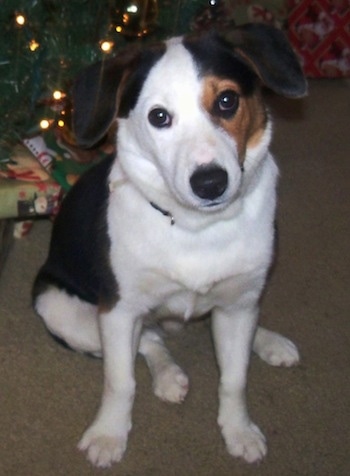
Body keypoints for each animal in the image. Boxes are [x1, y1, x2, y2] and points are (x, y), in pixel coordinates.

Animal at [32, 24, 306, 466]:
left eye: (227, 100)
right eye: (158, 117)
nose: (210, 182)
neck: (196, 227)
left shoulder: (237, 306)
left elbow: (235, 378)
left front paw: (239, 429)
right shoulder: (119, 309)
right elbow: (120, 380)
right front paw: (109, 433)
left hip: (240, 300)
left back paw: (267, 341)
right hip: (61, 309)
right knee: (150, 339)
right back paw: (168, 375)